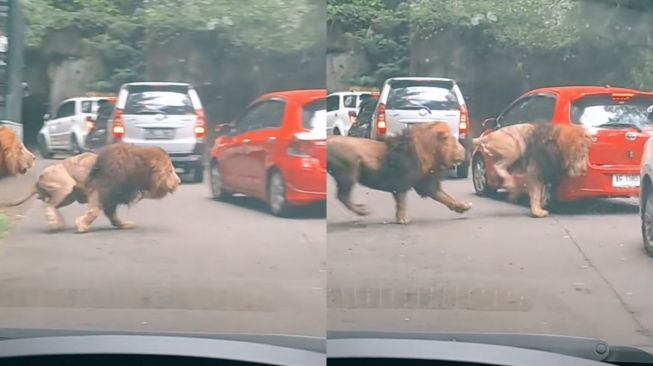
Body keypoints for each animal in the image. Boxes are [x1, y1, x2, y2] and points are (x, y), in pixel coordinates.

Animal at [328, 122, 472, 223]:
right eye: (454, 143)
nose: (465, 152)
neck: (428, 152)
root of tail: (330, 140)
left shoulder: (426, 183)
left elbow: (446, 197)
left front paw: (463, 207)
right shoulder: (402, 181)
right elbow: (402, 201)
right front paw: (402, 219)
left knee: (342, 196)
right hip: (347, 172)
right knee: (342, 196)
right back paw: (361, 211)